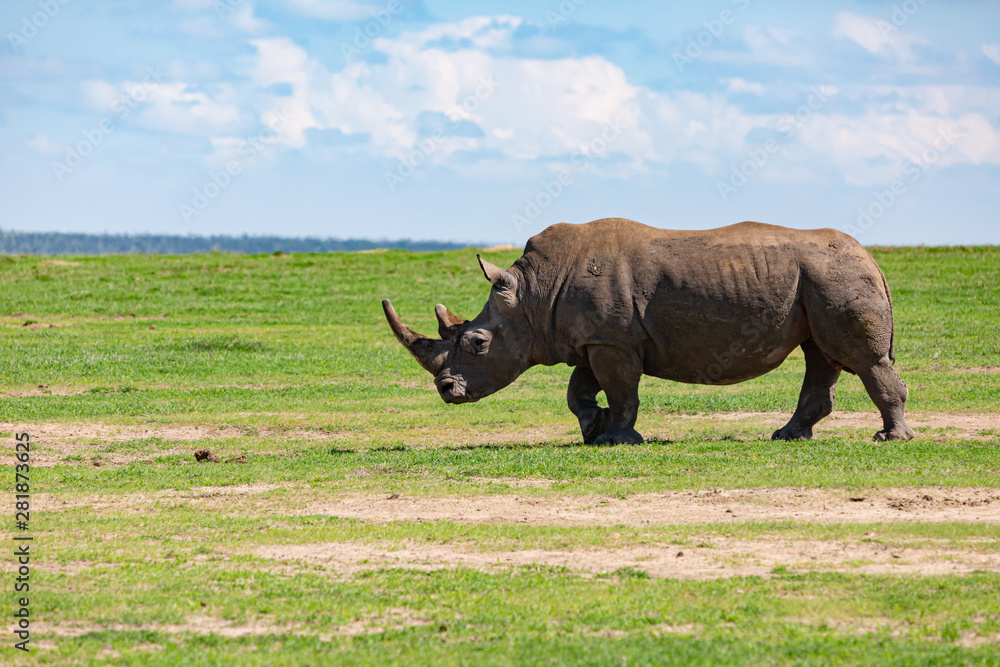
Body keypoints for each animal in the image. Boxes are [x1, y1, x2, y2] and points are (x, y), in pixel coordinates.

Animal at [382, 218, 915, 444]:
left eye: (477, 343)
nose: (446, 390)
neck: (533, 295)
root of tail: (871, 256)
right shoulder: (596, 338)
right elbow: (578, 391)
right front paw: (593, 430)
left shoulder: (612, 341)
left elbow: (622, 391)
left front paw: (618, 439)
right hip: (820, 279)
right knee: (819, 354)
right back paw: (787, 436)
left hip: (836, 275)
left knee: (860, 359)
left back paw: (889, 440)